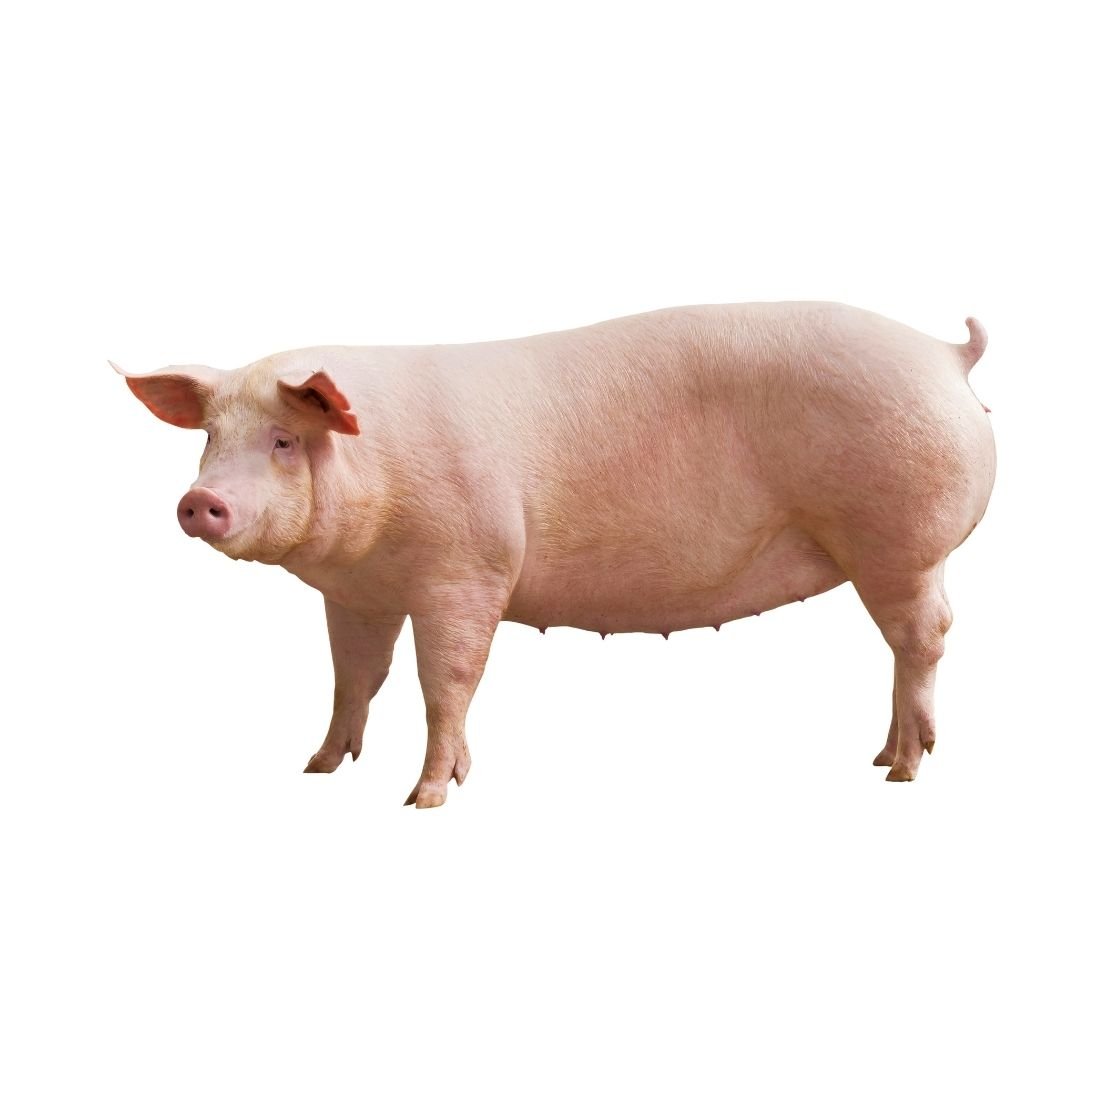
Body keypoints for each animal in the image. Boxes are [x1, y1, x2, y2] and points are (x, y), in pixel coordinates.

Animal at [115, 302, 994, 805]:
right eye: (209, 437)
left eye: (284, 439)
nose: (199, 500)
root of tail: (944, 355)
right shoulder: (359, 593)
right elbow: (355, 677)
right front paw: (319, 768)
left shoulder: (467, 570)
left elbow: (448, 680)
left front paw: (425, 797)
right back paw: (883, 758)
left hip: (900, 541)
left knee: (926, 639)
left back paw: (903, 770)